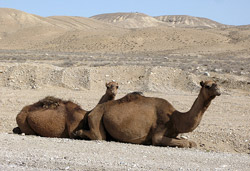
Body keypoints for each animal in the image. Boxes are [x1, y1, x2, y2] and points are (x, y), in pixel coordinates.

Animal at [75, 81, 221, 148]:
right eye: (207, 85)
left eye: (217, 83)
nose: (218, 90)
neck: (175, 118)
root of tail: (92, 110)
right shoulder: (158, 133)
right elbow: (186, 143)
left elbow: (190, 142)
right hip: (97, 117)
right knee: (99, 136)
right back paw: (77, 133)